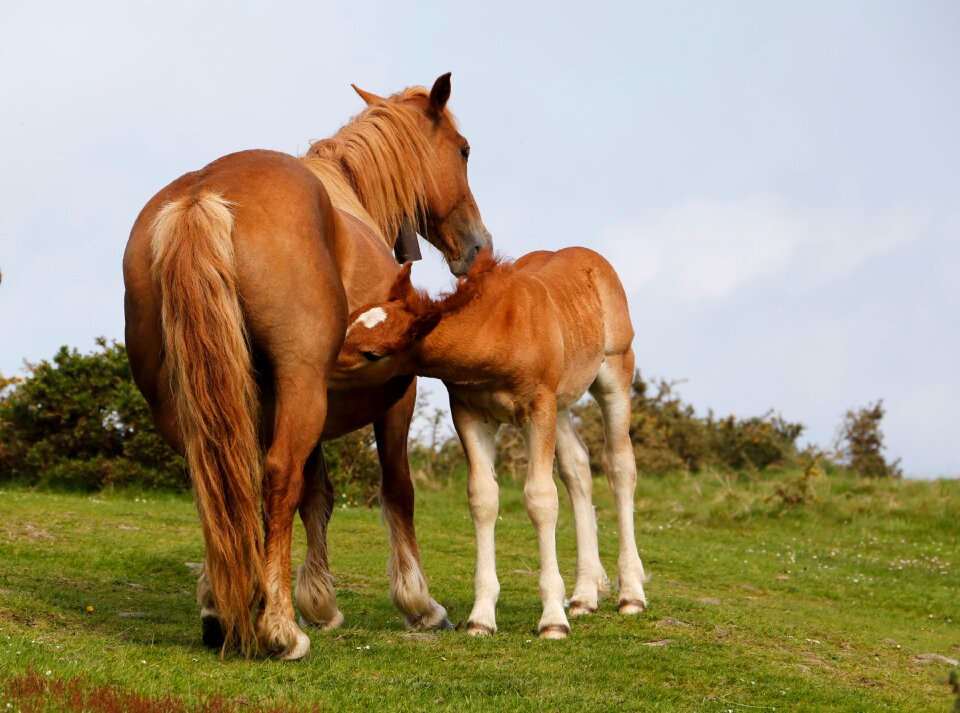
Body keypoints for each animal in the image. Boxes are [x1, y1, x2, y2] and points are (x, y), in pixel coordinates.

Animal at [124, 75, 492, 660]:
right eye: (463, 150)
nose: (478, 246)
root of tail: (202, 195)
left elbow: (317, 496)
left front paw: (319, 601)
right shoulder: (397, 394)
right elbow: (397, 491)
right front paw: (419, 604)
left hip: (190, 401)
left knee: (215, 482)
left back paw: (219, 609)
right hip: (302, 386)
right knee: (278, 476)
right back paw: (278, 627)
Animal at [332, 248, 652, 636]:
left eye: (372, 353)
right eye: (350, 321)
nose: (321, 362)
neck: (496, 332)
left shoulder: (538, 409)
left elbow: (540, 498)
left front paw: (552, 620)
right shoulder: (469, 413)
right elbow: (483, 498)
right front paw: (481, 617)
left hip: (614, 372)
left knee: (620, 466)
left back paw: (631, 594)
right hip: (561, 404)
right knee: (577, 468)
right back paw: (583, 596)